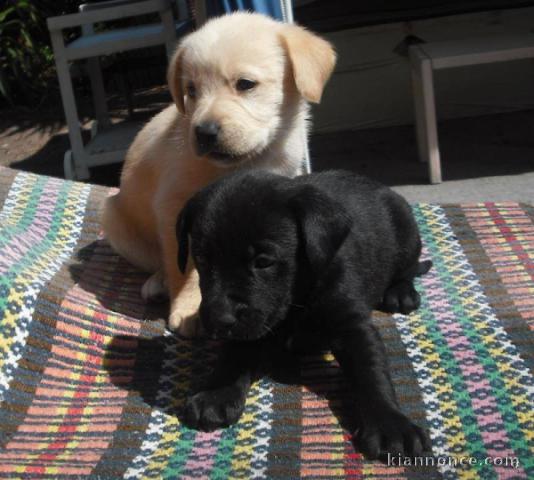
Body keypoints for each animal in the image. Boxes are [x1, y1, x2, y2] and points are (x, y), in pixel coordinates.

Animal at [101, 11, 336, 334]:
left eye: (245, 84)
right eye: (191, 90)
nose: (204, 132)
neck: (251, 159)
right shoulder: (174, 208)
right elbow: (186, 266)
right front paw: (186, 307)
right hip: (114, 220)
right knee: (159, 261)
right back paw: (158, 283)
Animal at [178, 171, 434, 460]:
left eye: (263, 262)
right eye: (201, 259)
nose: (219, 319)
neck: (297, 299)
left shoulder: (350, 323)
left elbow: (370, 370)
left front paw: (390, 424)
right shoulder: (252, 328)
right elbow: (234, 354)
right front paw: (216, 393)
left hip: (406, 233)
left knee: (407, 268)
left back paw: (400, 293)